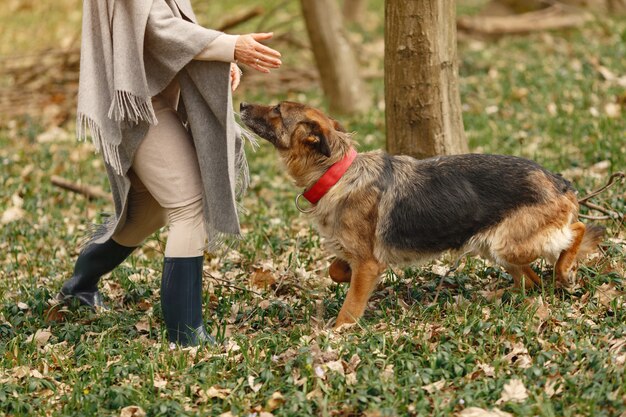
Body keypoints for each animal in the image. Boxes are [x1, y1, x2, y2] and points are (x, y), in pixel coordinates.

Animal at [238, 101, 600, 328]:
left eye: (277, 110)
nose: (240, 105)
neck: (337, 172)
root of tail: (559, 181)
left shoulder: (369, 265)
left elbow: (350, 306)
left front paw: (337, 334)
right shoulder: (361, 258)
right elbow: (335, 269)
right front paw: (340, 272)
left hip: (507, 244)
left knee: (577, 231)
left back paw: (564, 269)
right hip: (497, 246)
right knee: (532, 280)